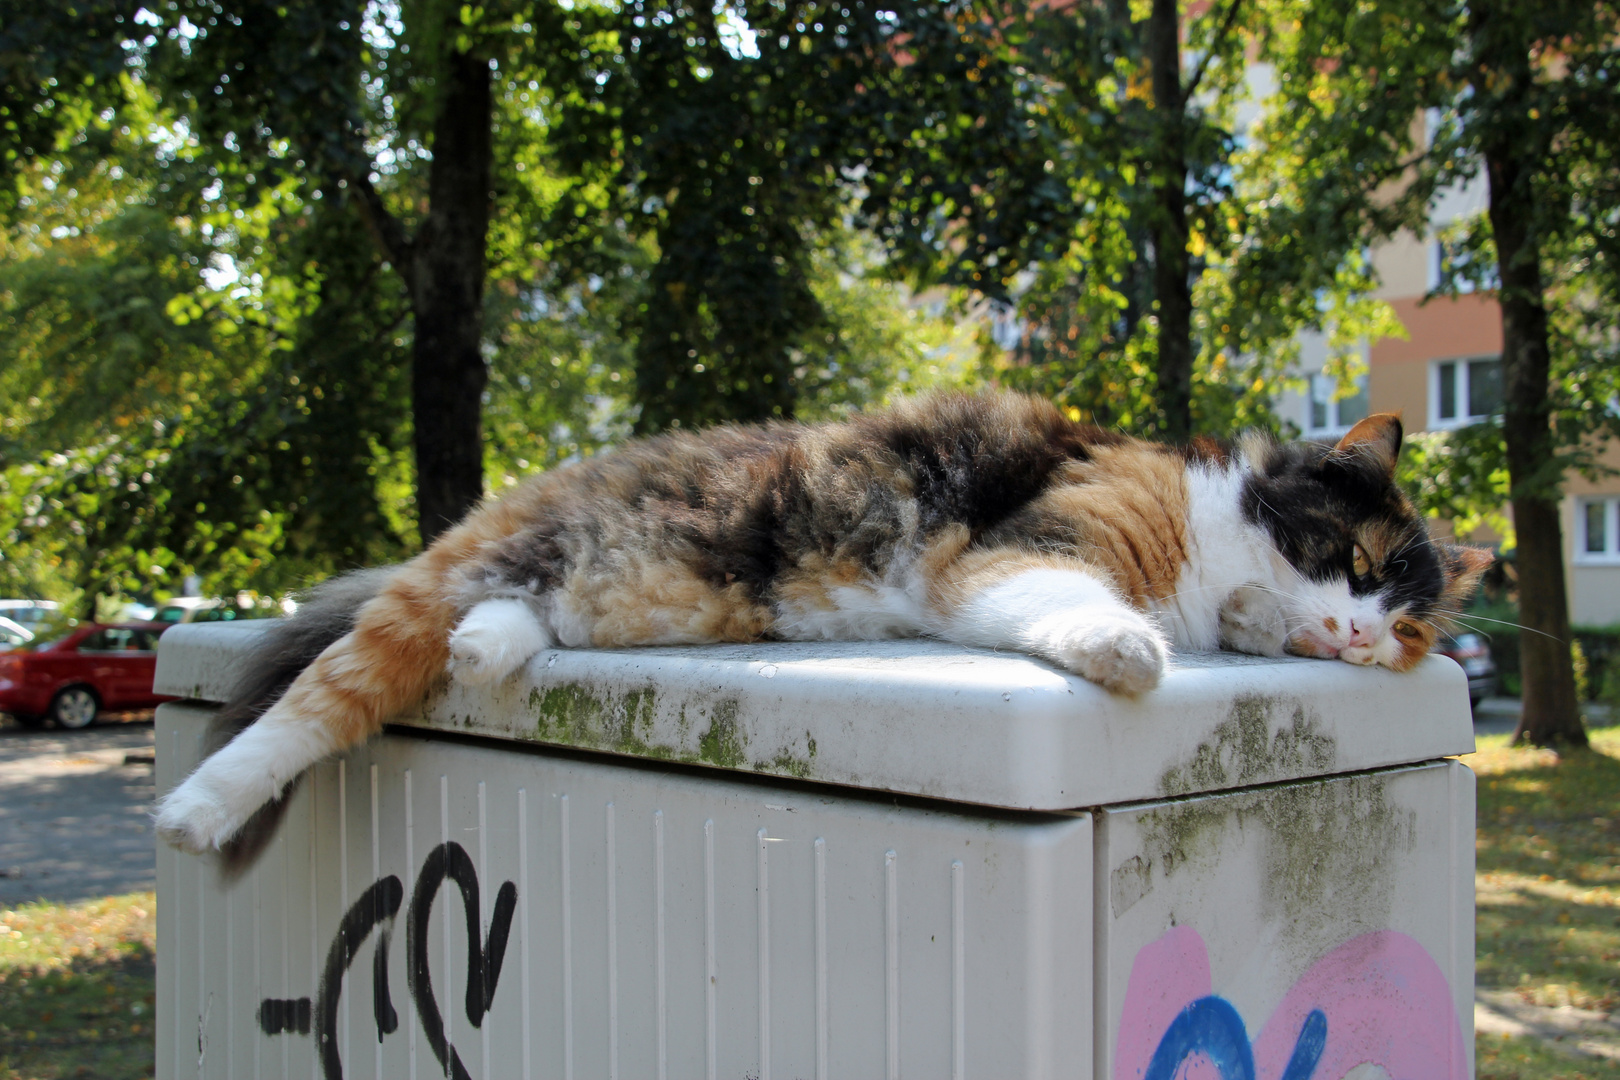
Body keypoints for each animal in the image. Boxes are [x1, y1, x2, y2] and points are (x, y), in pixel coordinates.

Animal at [154, 388, 1490, 861]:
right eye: (1359, 563)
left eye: (1413, 634)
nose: (1364, 640)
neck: (1208, 549)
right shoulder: (1023, 551)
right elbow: (1084, 610)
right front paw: (1131, 651)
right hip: (454, 584)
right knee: (319, 697)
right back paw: (198, 809)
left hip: (598, 592)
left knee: (501, 627)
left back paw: (491, 649)